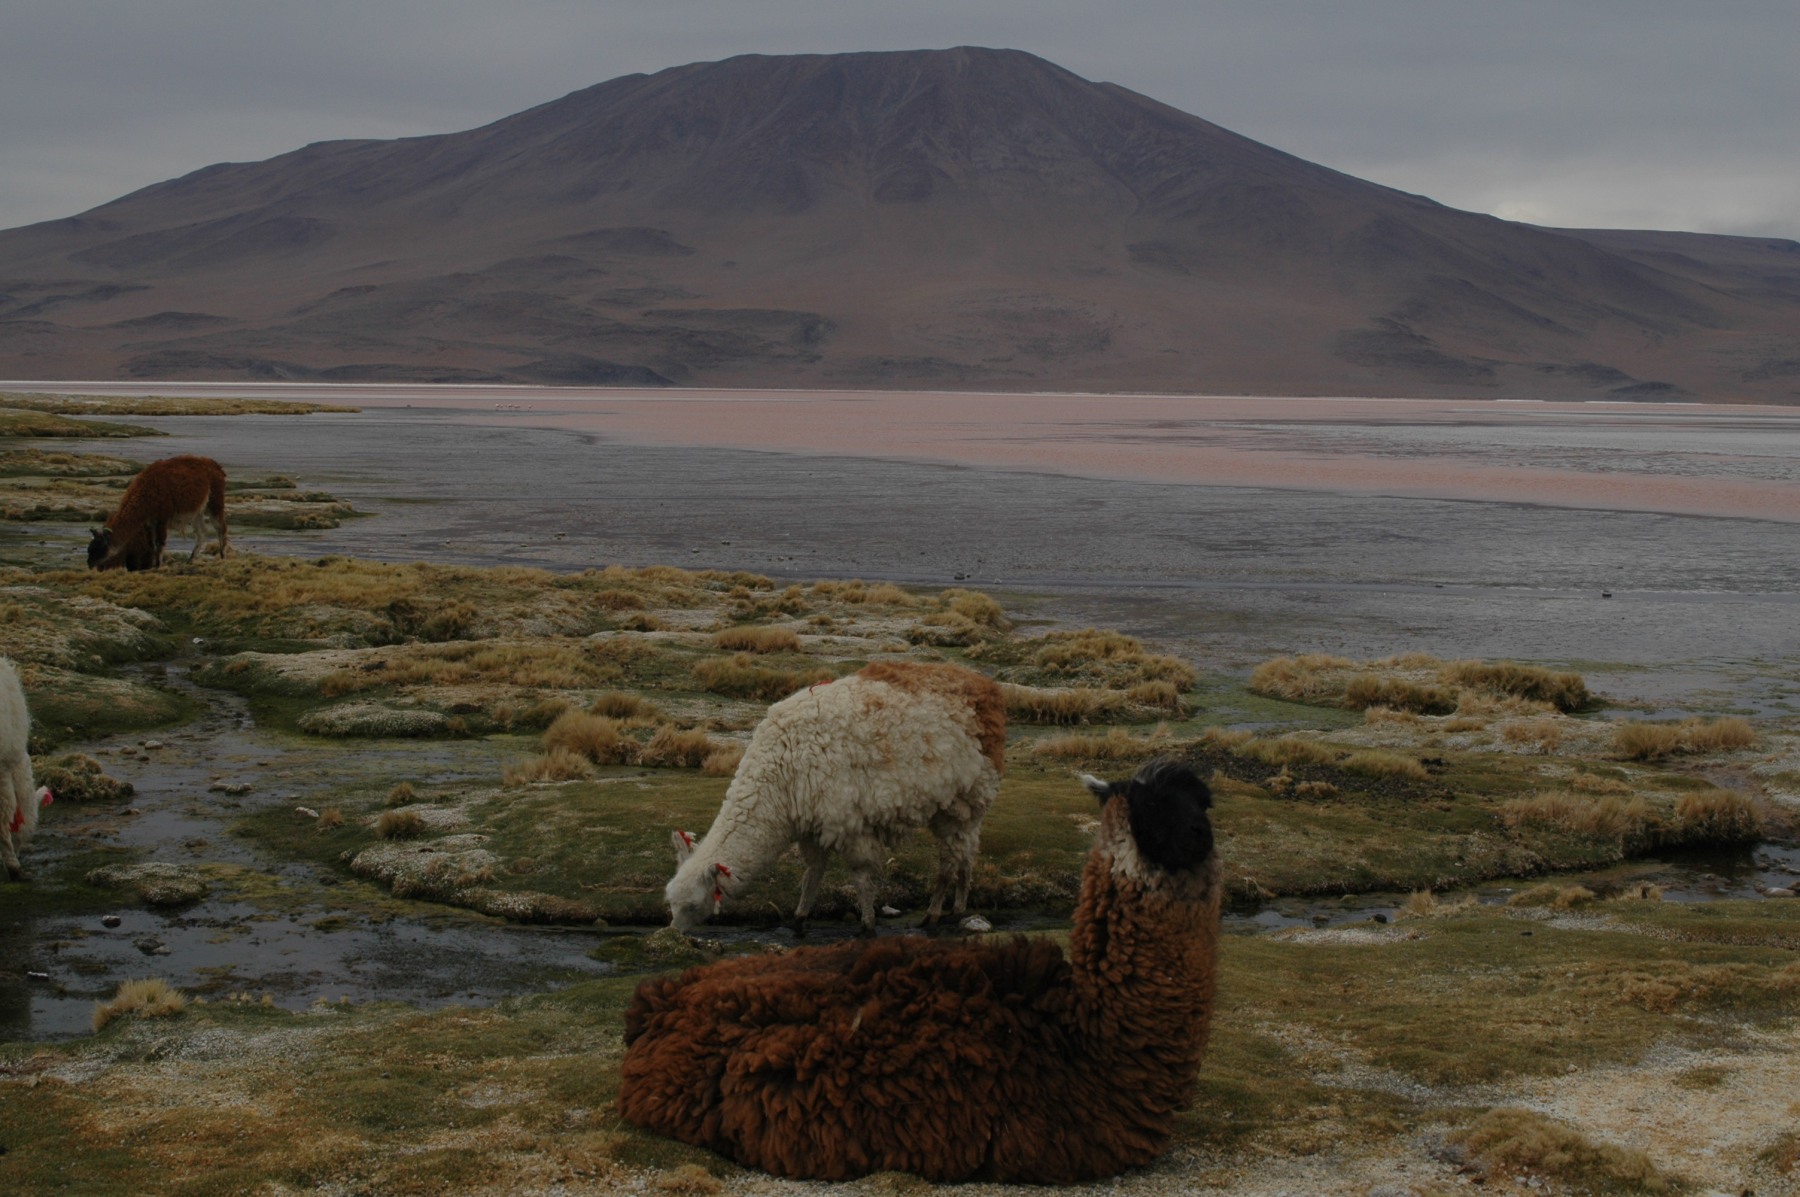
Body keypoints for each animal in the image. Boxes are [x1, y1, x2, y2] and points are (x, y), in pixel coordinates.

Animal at [88, 454, 229, 570]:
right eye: (90, 548)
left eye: (100, 547)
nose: (90, 564)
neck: (146, 492)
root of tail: (217, 466)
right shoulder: (150, 520)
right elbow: (151, 543)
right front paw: (153, 565)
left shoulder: (162, 516)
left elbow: (159, 542)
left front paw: (158, 565)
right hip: (198, 509)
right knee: (201, 533)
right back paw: (190, 560)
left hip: (214, 500)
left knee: (220, 527)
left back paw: (222, 556)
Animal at [666, 660, 1005, 935]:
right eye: (669, 902)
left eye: (692, 905)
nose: (673, 932)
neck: (781, 773)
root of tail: (985, 688)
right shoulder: (811, 825)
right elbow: (812, 876)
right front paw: (799, 920)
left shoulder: (848, 821)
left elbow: (862, 879)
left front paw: (867, 925)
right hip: (958, 806)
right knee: (967, 852)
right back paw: (959, 906)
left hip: (963, 797)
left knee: (949, 860)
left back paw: (933, 915)